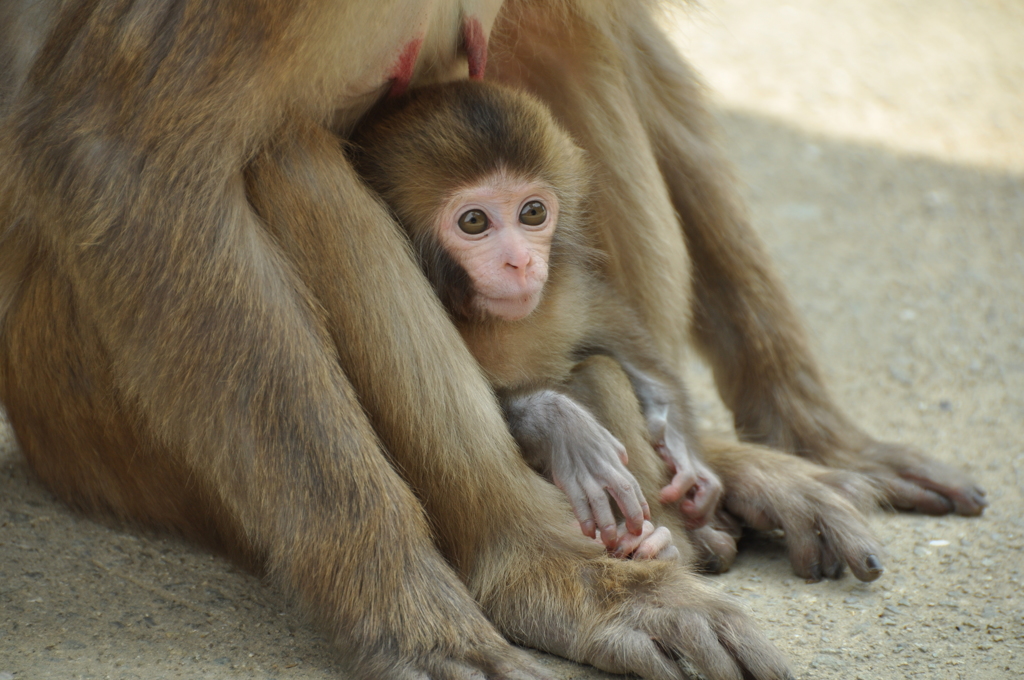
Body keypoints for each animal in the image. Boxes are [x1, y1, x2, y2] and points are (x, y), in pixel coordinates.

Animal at [352, 80, 720, 557]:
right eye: (474, 221)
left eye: (532, 212)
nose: (522, 262)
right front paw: (557, 423)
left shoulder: (567, 292)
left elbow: (624, 346)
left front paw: (678, 444)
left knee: (601, 369)